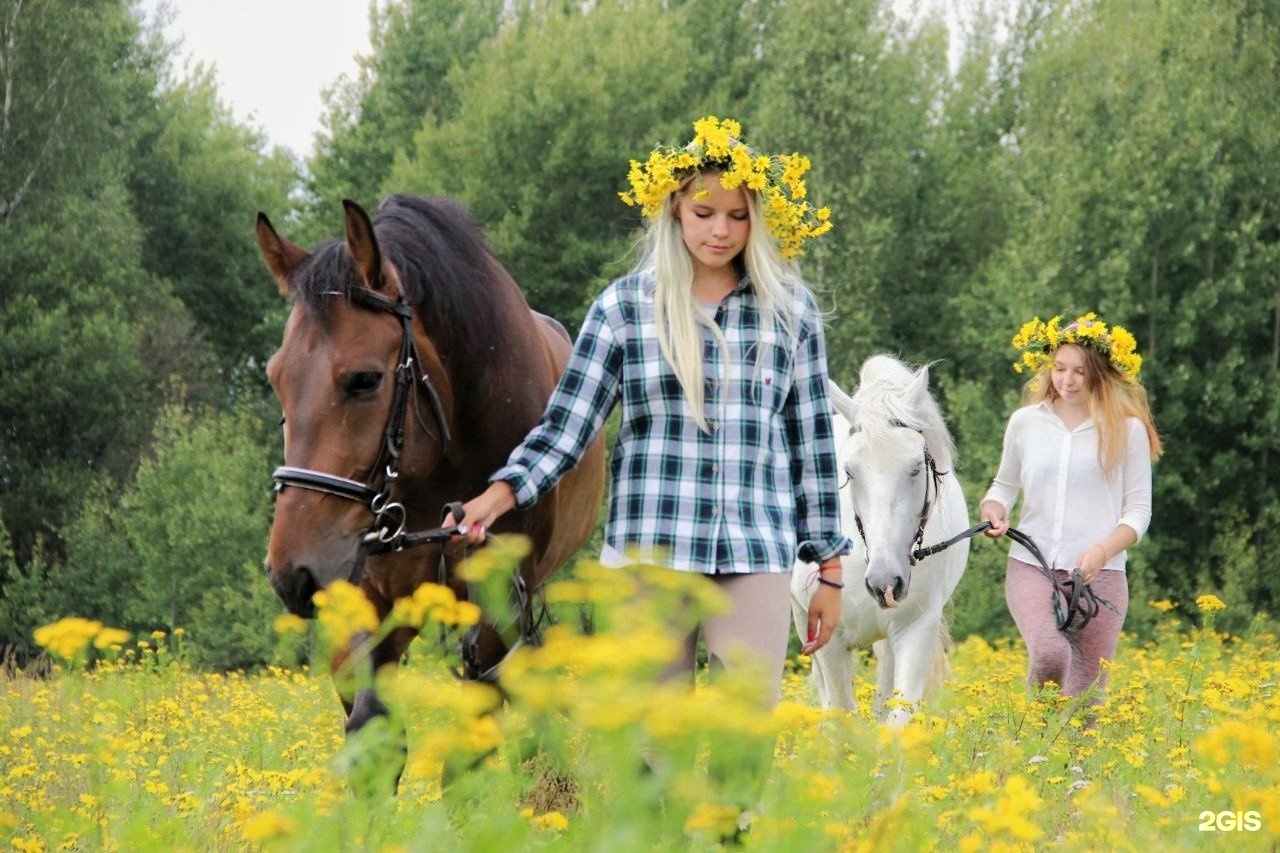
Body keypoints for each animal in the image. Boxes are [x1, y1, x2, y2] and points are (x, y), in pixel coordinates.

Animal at [256, 195, 607, 784]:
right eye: (275, 377)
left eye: (365, 380)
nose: (293, 573)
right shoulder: (364, 597)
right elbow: (372, 734)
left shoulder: (495, 601)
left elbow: (469, 752)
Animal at [791, 355, 970, 726]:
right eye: (848, 472)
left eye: (916, 468)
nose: (884, 581)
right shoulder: (829, 640)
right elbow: (840, 714)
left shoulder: (916, 630)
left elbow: (897, 721)